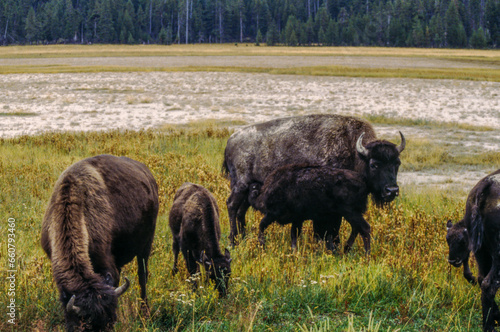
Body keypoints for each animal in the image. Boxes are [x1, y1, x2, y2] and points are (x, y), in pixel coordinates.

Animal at [40, 154, 158, 330]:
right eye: (87, 324)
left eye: (109, 323)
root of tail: (148, 175)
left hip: (145, 246)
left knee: (142, 276)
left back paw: (145, 313)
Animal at [223, 114, 406, 246]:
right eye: (374, 164)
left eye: (397, 163)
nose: (392, 191)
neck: (354, 151)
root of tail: (231, 140)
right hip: (240, 186)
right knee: (231, 206)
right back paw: (233, 241)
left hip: (250, 188)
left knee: (241, 211)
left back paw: (243, 238)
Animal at [448, 170, 500, 330]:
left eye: (462, 241)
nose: (452, 260)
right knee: (489, 285)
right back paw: (490, 326)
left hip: (482, 253)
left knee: (482, 280)